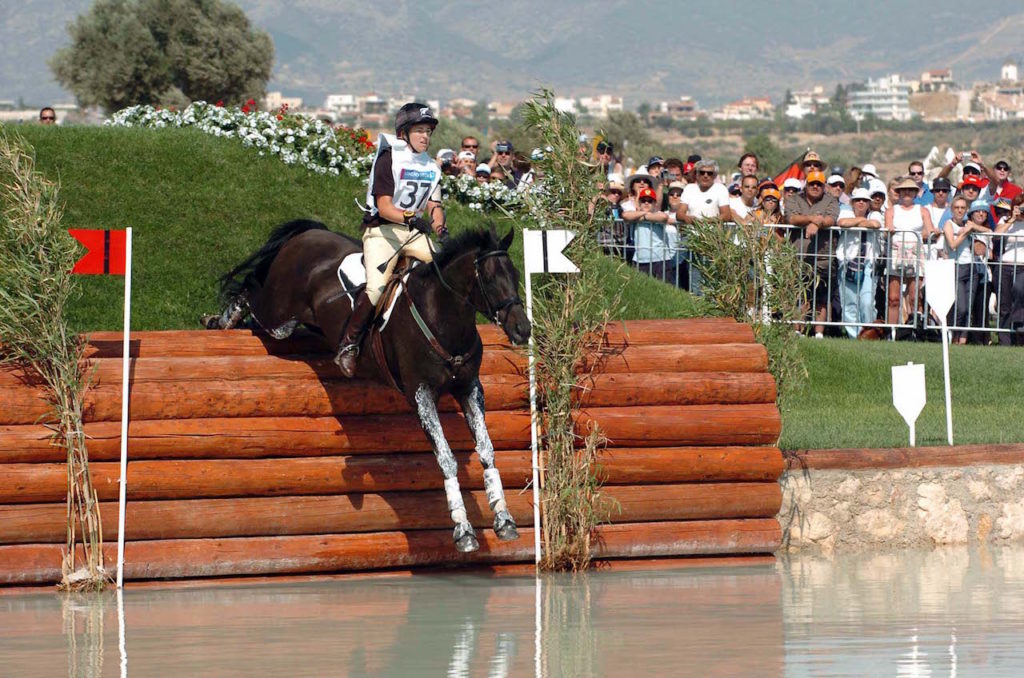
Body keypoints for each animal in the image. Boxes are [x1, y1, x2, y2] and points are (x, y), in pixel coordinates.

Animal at [203, 220, 532, 557]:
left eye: (516, 275)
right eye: (490, 280)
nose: (523, 329)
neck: (442, 317)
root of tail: (307, 234)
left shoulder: (470, 388)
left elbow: (487, 450)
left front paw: (504, 520)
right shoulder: (421, 394)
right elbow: (446, 457)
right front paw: (463, 531)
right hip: (279, 316)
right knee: (249, 292)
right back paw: (218, 321)